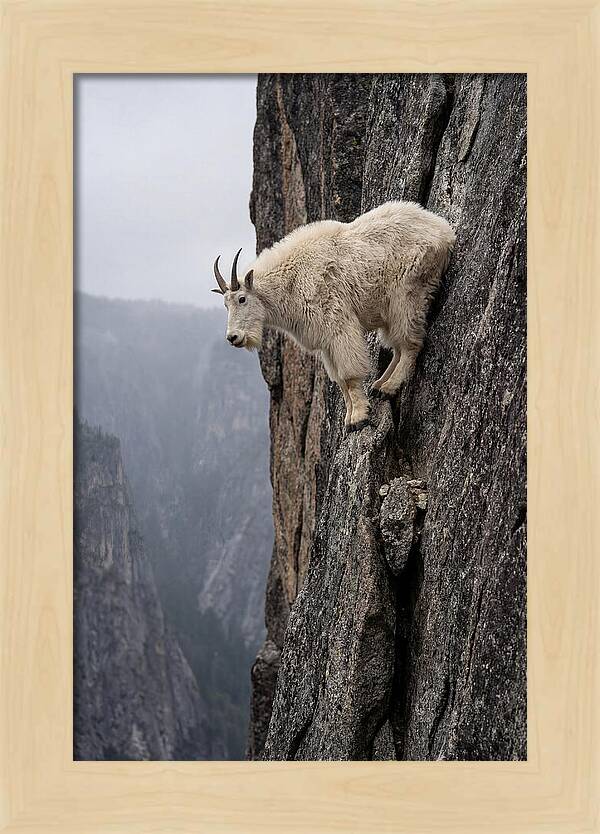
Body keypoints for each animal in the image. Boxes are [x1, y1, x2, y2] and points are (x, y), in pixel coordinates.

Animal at [211, 201, 455, 431]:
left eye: (242, 299)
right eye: (225, 304)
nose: (233, 337)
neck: (291, 282)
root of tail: (444, 230)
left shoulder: (338, 325)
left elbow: (348, 375)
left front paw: (359, 418)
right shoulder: (325, 342)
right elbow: (338, 380)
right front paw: (348, 418)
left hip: (407, 294)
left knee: (410, 343)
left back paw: (388, 387)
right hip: (390, 310)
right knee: (397, 346)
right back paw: (379, 385)